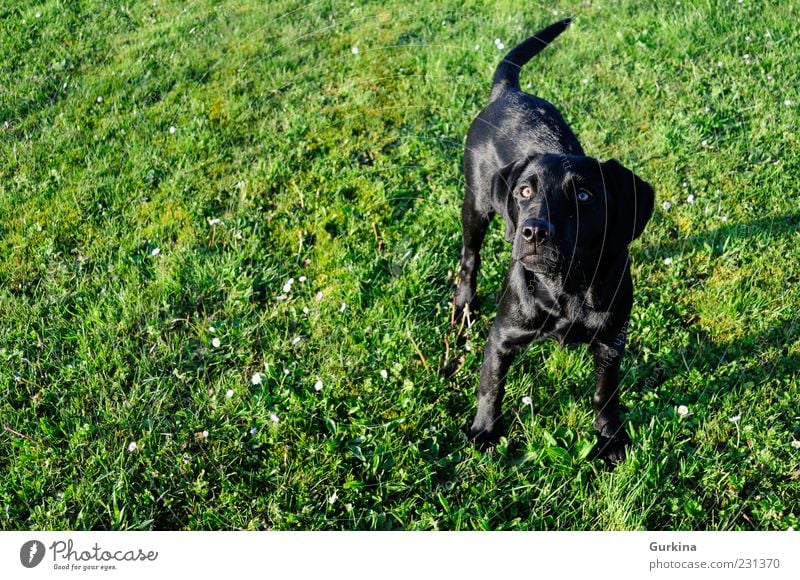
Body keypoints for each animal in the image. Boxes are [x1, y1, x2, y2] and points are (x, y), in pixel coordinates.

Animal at [454, 18, 652, 464]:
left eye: (584, 196)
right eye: (525, 191)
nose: (533, 231)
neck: (567, 287)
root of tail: (508, 92)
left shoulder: (612, 341)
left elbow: (605, 393)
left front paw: (609, 437)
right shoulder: (502, 337)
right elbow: (490, 386)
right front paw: (485, 430)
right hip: (476, 204)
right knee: (470, 256)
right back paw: (463, 304)